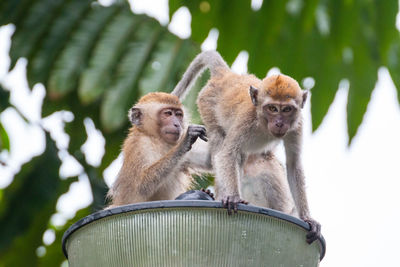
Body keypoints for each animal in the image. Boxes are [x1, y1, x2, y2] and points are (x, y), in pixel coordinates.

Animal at [170, 50, 320, 245]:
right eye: (272, 108)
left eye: (287, 109)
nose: (279, 123)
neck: (263, 122)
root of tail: (226, 75)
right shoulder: (246, 120)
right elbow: (227, 152)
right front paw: (233, 197)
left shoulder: (297, 126)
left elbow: (293, 164)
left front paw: (307, 218)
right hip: (206, 104)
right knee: (220, 144)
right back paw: (223, 195)